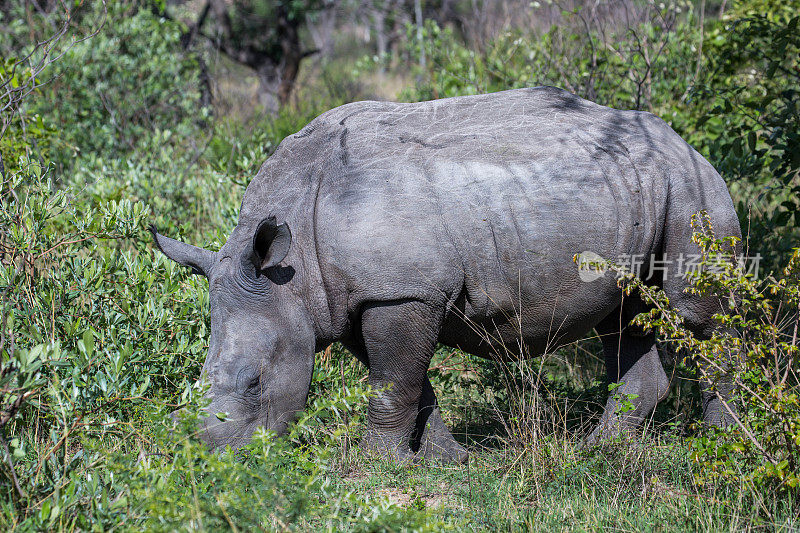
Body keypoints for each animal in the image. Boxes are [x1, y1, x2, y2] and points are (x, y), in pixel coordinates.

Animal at [153, 87, 740, 462]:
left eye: (254, 382)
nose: (205, 460)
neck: (289, 272)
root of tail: (685, 140)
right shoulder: (361, 297)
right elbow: (410, 384)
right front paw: (448, 461)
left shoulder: (401, 291)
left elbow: (393, 384)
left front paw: (376, 467)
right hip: (634, 187)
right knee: (625, 317)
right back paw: (601, 452)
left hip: (692, 187)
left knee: (697, 315)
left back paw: (724, 445)